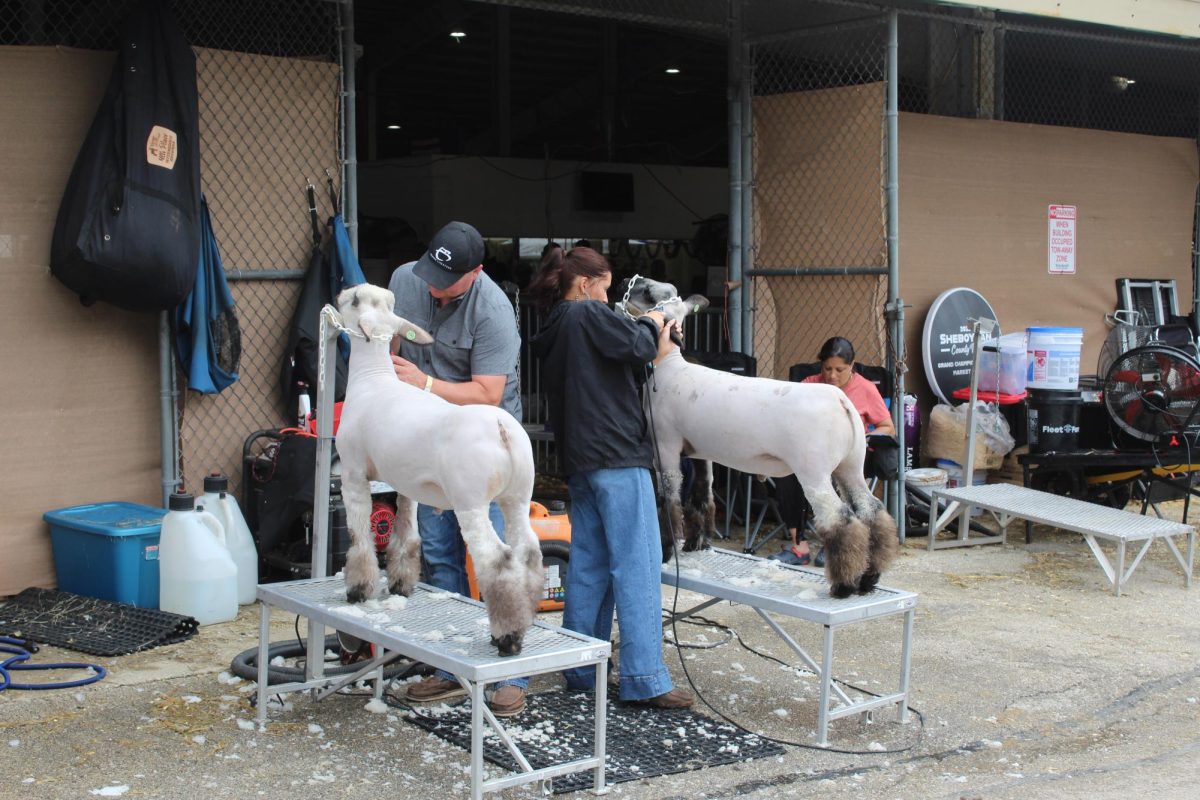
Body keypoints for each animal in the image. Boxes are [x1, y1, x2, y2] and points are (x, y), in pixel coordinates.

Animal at [336, 284, 547, 652]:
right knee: (528, 550)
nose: (340, 291)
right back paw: (525, 617)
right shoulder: (404, 482)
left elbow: (359, 537)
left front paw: (358, 590)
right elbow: (407, 531)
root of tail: (501, 430)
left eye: (356, 301)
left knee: (496, 559)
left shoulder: (353, 474)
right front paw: (401, 584)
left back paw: (507, 637)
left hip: (470, 499)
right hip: (518, 495)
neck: (372, 379)